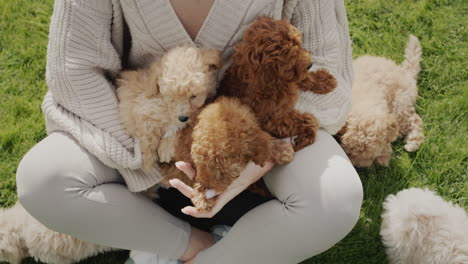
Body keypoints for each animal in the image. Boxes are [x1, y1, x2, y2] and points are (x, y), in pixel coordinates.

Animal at [161, 96, 292, 211]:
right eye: (199, 164)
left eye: (222, 172)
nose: (207, 186)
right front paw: (202, 198)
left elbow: (267, 145)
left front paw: (283, 151)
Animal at [219, 16, 336, 152]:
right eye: (290, 57)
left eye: (299, 46)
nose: (310, 64)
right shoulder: (272, 120)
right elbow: (309, 120)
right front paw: (305, 138)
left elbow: (302, 78)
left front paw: (325, 80)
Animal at [336, 35, 424, 167]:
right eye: (349, 152)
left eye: (369, 157)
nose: (357, 166)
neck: (364, 102)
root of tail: (405, 71)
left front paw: (384, 156)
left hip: (400, 102)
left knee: (414, 121)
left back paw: (413, 143)